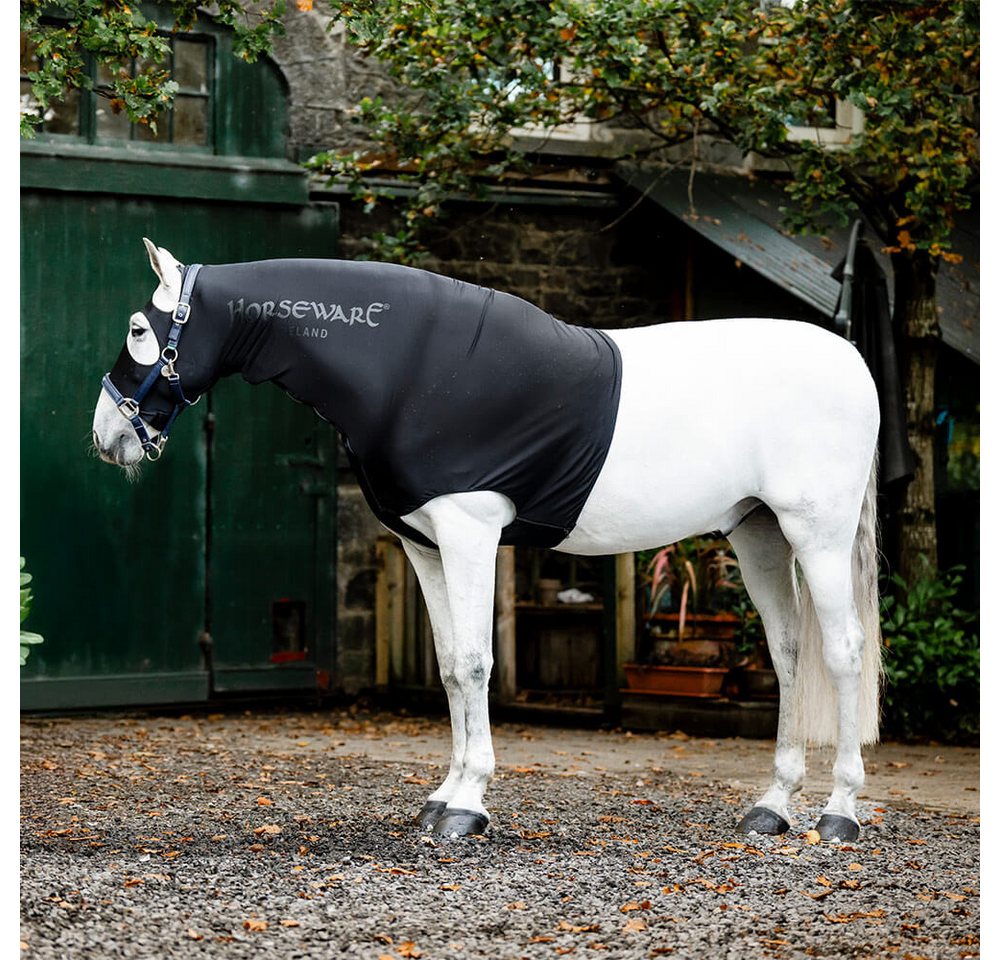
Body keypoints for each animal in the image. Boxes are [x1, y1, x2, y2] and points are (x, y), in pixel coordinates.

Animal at [92, 239, 882, 843]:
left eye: (137, 328)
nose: (106, 437)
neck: (406, 364)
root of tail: (852, 359)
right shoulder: (425, 546)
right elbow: (449, 668)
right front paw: (444, 796)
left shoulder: (469, 530)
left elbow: (476, 664)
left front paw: (468, 805)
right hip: (758, 534)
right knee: (788, 654)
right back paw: (772, 808)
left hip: (816, 533)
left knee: (842, 654)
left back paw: (839, 814)